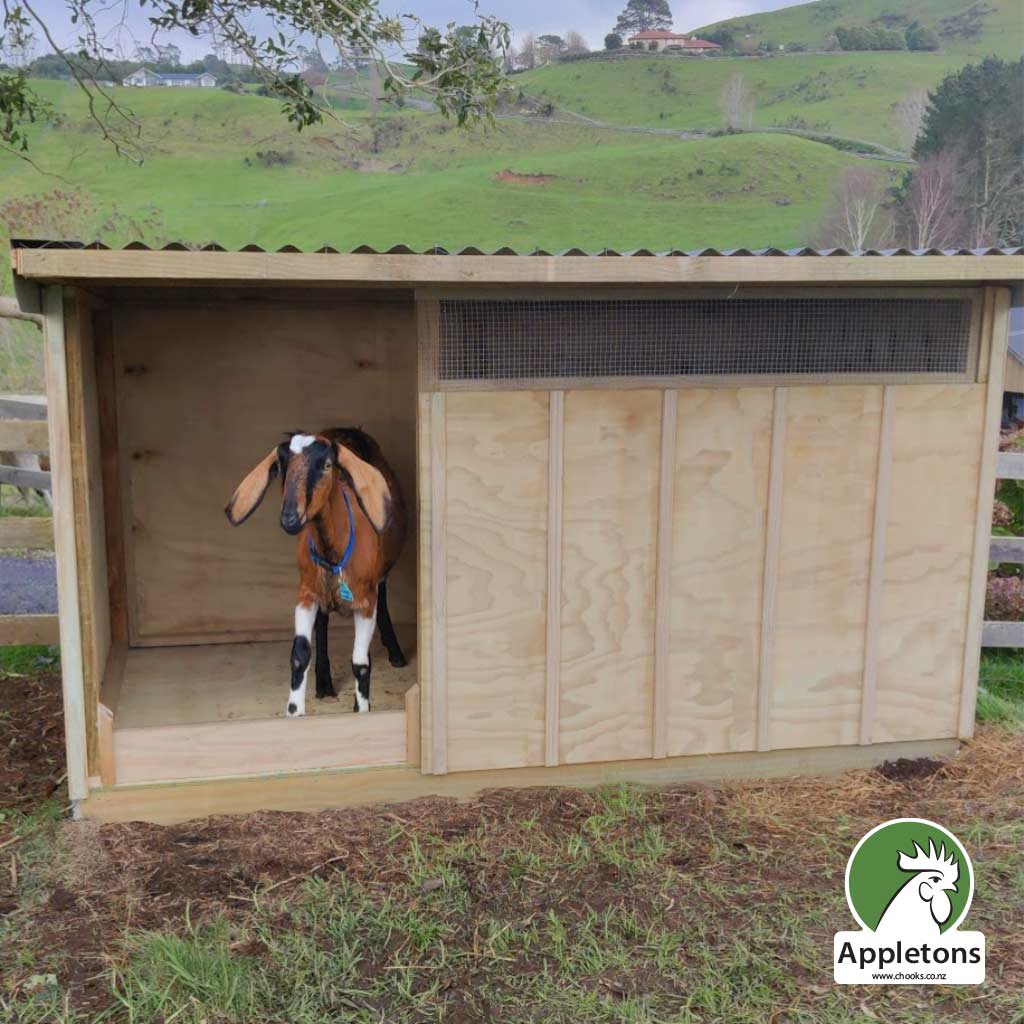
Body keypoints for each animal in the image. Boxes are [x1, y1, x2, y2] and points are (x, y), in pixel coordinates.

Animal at [225, 428, 407, 717]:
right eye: (281, 465)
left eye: (327, 465)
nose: (289, 518)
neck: (333, 552)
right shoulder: (306, 594)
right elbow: (300, 654)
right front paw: (295, 712)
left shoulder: (366, 602)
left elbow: (361, 664)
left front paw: (362, 710)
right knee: (322, 625)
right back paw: (323, 683)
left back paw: (396, 654)